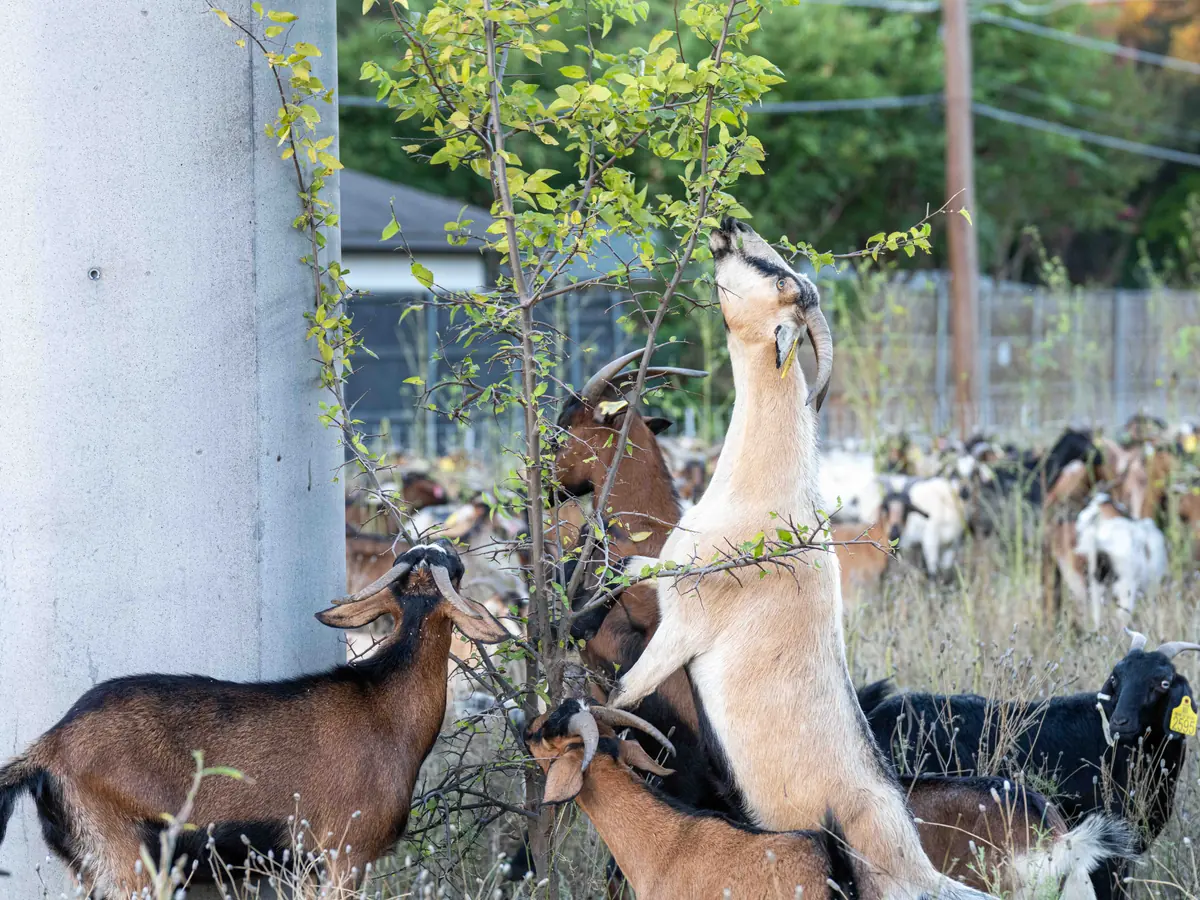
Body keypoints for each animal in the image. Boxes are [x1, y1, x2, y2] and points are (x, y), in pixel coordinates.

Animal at [0, 542, 509, 898]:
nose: (437, 546)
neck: (385, 704)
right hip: (128, 855)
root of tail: (49, 748)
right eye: (455, 569)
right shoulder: (345, 852)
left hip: (90, 863)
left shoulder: (307, 866)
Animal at [607, 218, 987, 900]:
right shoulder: (662, 574)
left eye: (781, 280)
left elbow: (625, 692)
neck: (765, 494)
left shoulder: (687, 625)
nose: (731, 226)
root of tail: (918, 865)